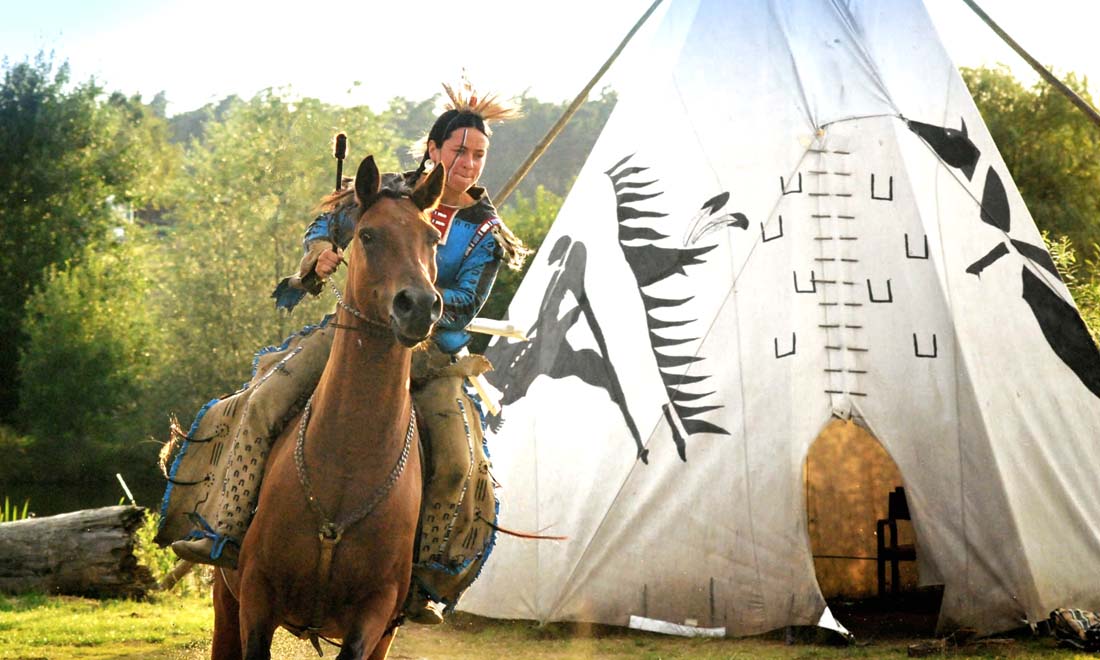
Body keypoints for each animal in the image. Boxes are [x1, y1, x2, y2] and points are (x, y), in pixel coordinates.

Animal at [210, 155, 445, 660]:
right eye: (368, 234)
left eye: (431, 238)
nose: (418, 305)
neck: (346, 464)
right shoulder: (255, 597)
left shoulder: (374, 615)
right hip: (224, 601)